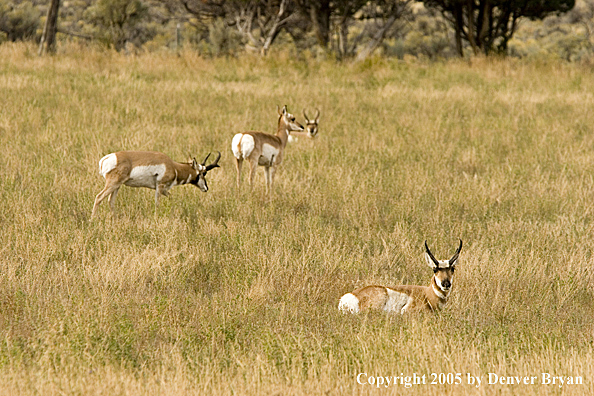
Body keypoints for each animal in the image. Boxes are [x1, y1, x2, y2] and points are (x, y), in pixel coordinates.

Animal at [91, 151, 221, 218]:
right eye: (204, 172)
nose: (206, 188)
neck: (172, 166)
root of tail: (106, 158)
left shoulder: (163, 190)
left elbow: (171, 198)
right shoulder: (160, 187)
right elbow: (157, 204)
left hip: (117, 186)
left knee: (110, 201)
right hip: (113, 184)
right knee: (98, 197)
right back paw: (93, 220)